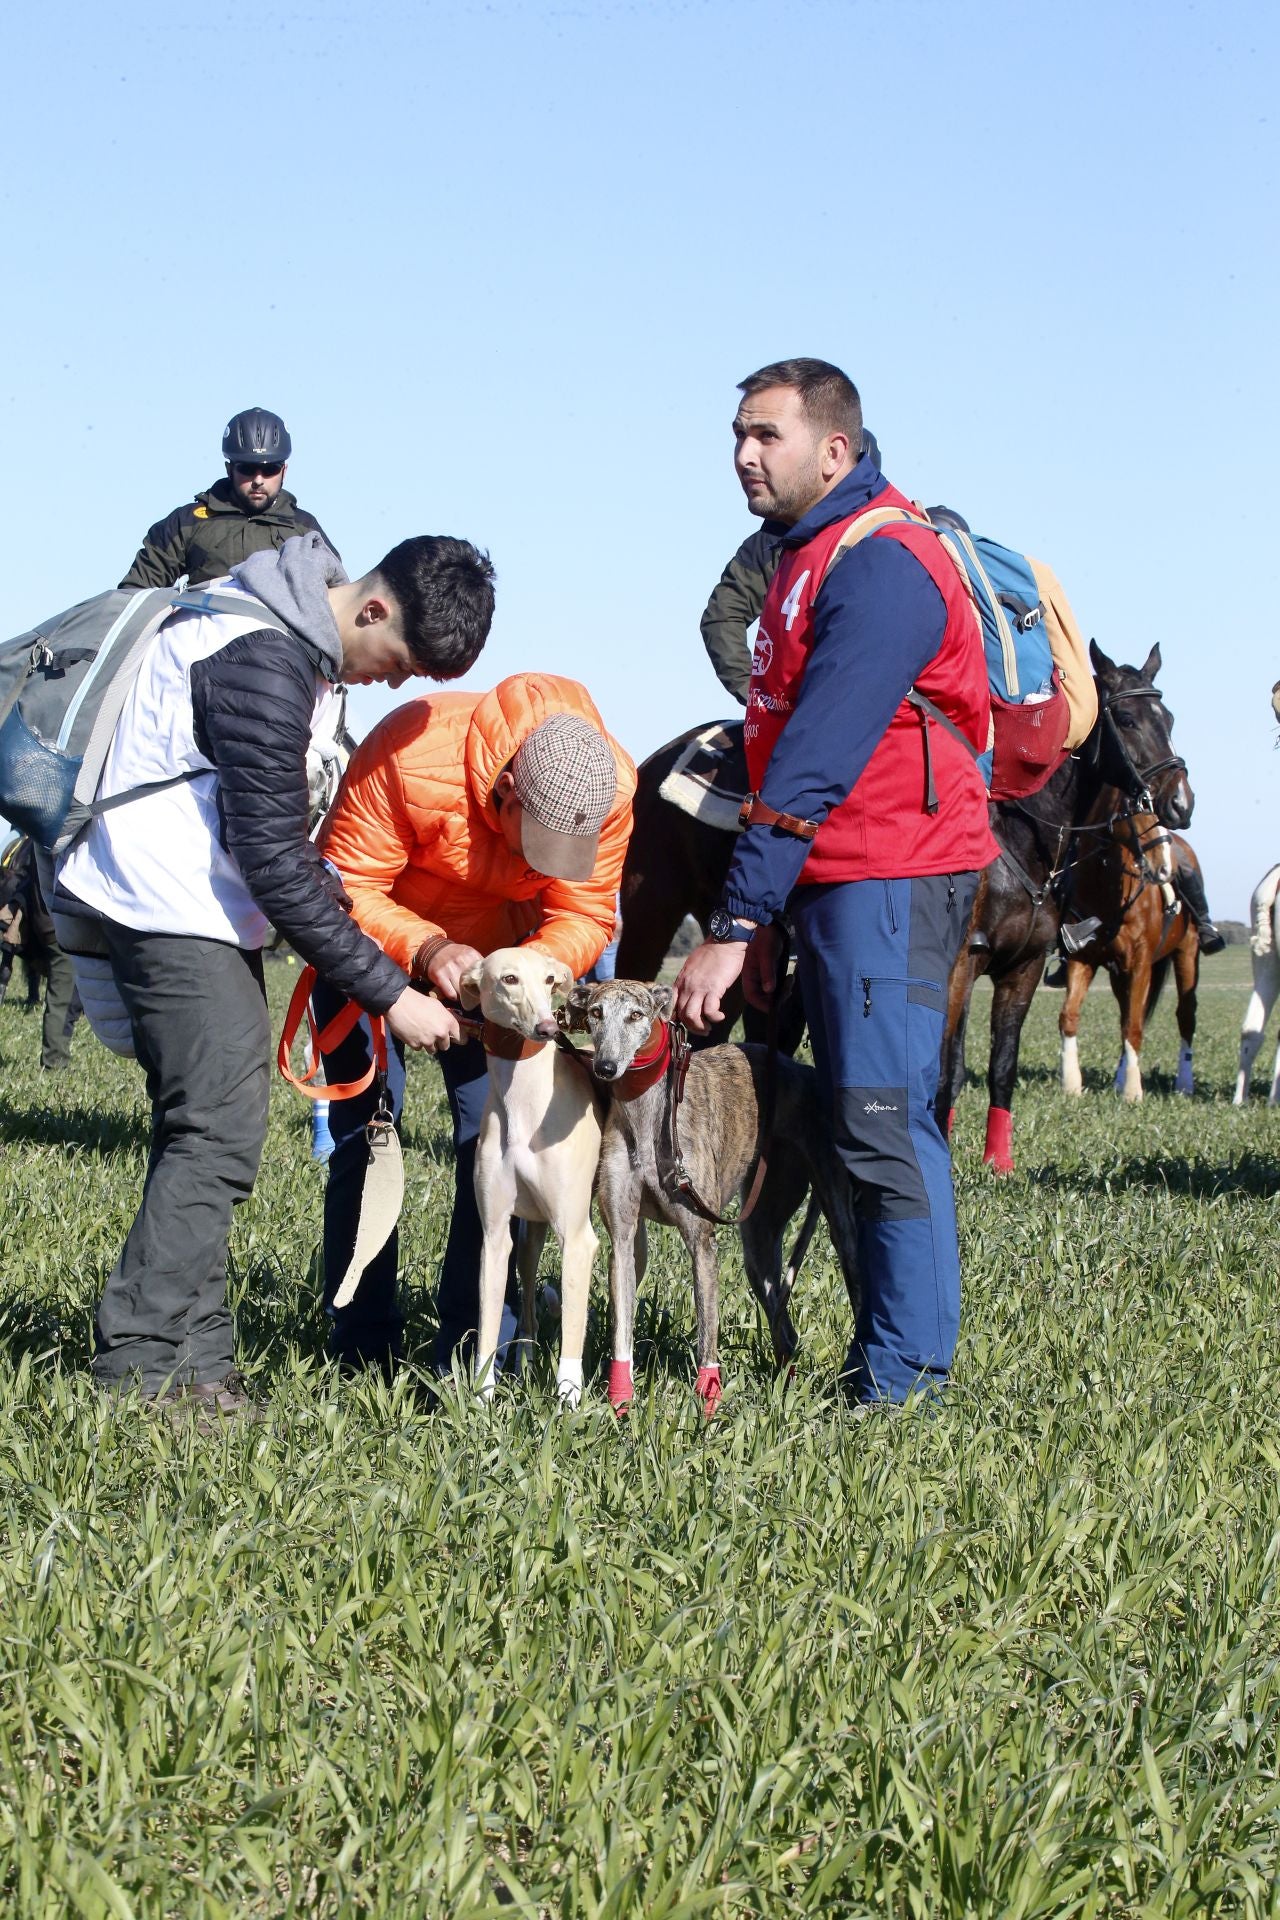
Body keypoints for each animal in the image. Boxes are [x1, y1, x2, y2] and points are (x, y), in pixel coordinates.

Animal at [936, 645, 1197, 1167]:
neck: (1021, 846)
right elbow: (949, 1066)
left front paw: (999, 1165)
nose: (1182, 802)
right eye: (1127, 719)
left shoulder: (1026, 968)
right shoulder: (962, 967)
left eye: (1168, 718)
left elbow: (1002, 1066)